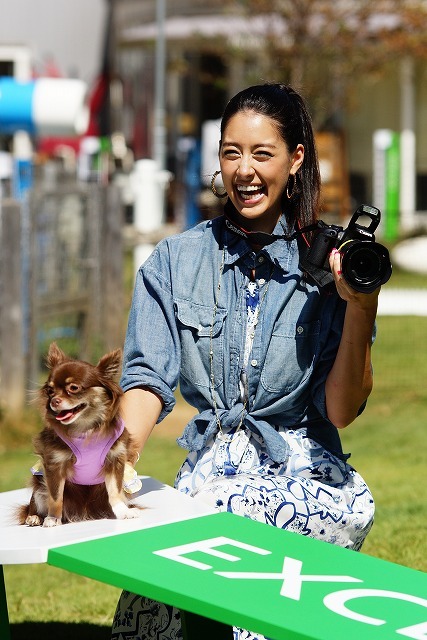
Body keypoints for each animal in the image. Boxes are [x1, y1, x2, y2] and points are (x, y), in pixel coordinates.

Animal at [18, 342, 142, 528]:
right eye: (50, 390)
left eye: (73, 388)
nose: (54, 400)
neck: (85, 428)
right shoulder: (54, 464)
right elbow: (55, 496)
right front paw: (52, 518)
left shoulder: (114, 460)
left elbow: (116, 490)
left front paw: (123, 512)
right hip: (39, 483)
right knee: (36, 498)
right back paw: (34, 516)